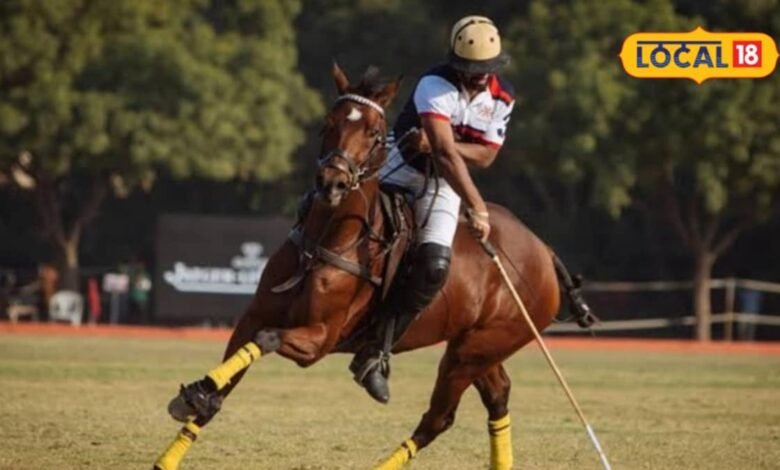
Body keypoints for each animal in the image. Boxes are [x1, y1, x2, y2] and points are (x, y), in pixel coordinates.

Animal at [153, 63, 585, 470]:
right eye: (328, 123)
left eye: (376, 133)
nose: (332, 183)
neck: (327, 240)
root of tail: (544, 250)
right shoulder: (255, 313)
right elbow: (225, 382)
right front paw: (192, 405)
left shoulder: (319, 340)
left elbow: (266, 340)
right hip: (476, 346)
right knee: (497, 397)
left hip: (475, 350)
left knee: (439, 418)